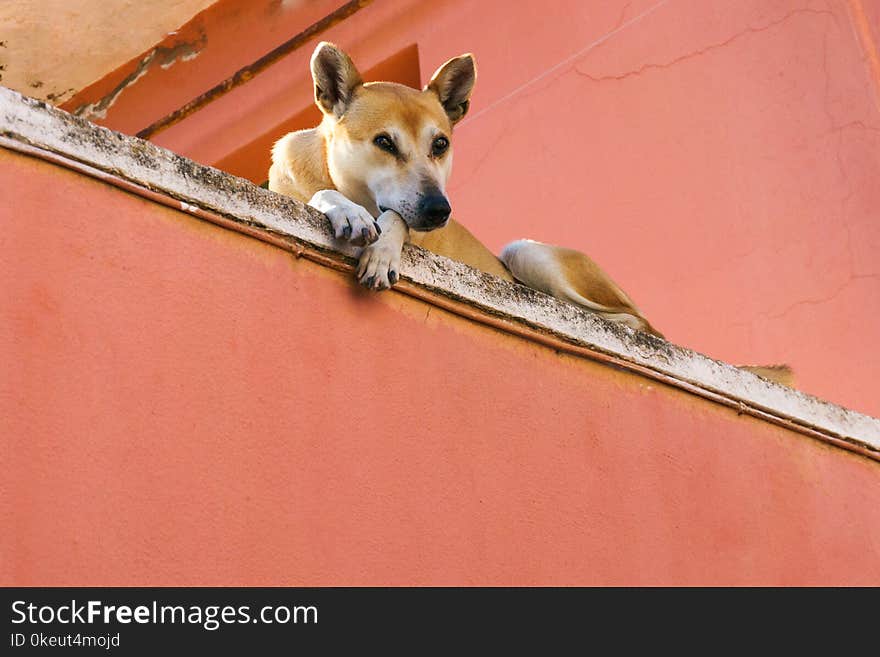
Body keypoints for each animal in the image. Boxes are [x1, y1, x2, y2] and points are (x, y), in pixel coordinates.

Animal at [268, 42, 792, 384]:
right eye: (383, 142)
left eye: (440, 144)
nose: (440, 210)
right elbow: (328, 199)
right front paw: (349, 213)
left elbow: (395, 219)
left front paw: (382, 249)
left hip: (528, 253)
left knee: (639, 324)